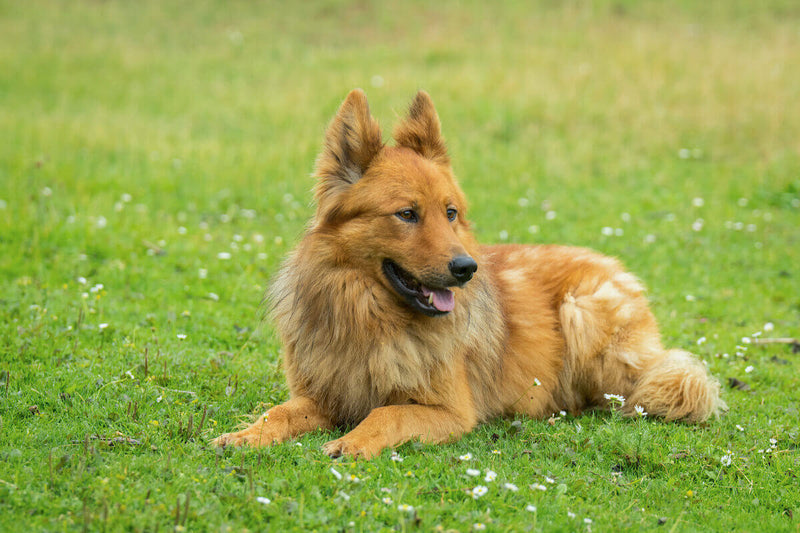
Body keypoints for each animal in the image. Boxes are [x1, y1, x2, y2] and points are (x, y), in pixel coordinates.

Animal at [213, 89, 725, 458]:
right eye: (407, 214)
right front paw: (246, 434)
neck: (372, 318)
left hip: (584, 315)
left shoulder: (450, 410)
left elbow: (386, 414)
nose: (467, 269)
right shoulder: (320, 396)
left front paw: (353, 441)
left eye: (451, 212)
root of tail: (615, 265)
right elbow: (278, 413)